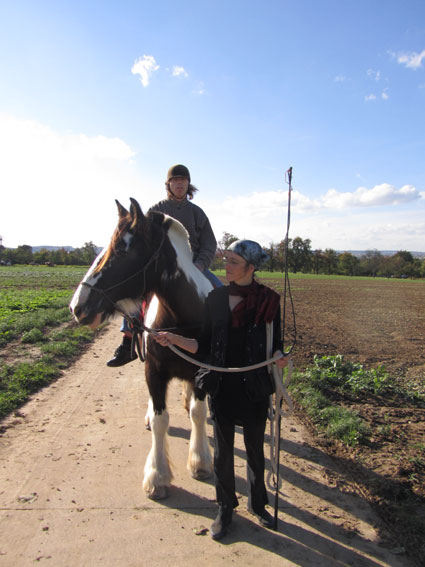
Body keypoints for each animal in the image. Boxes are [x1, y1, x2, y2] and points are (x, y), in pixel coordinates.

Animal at [71, 197, 215, 500]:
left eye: (123, 249)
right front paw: (157, 477)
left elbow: (198, 413)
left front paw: (200, 461)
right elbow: (161, 421)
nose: (78, 306)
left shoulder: (201, 371)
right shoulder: (154, 372)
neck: (184, 319)